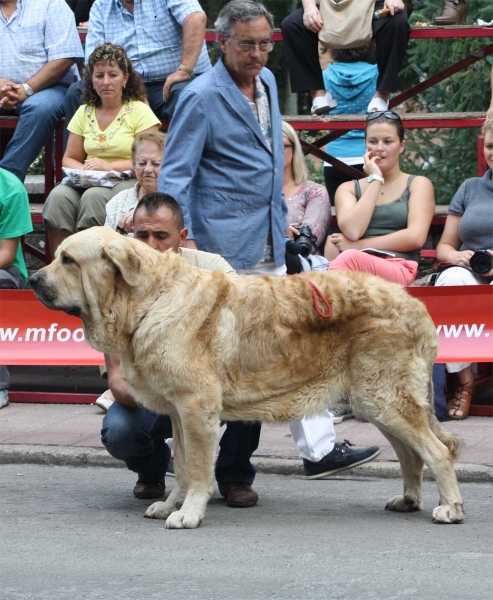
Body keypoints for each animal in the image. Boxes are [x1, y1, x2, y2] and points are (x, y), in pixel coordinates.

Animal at [29, 227, 462, 528]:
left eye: (68, 260)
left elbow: (198, 468)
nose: (33, 279)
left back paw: (450, 508)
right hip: (375, 400)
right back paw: (408, 500)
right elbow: (181, 464)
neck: (146, 301)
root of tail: (415, 304)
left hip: (384, 397)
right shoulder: (179, 412)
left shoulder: (196, 409)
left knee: (436, 451)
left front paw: (189, 513)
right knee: (411, 454)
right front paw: (171, 504)